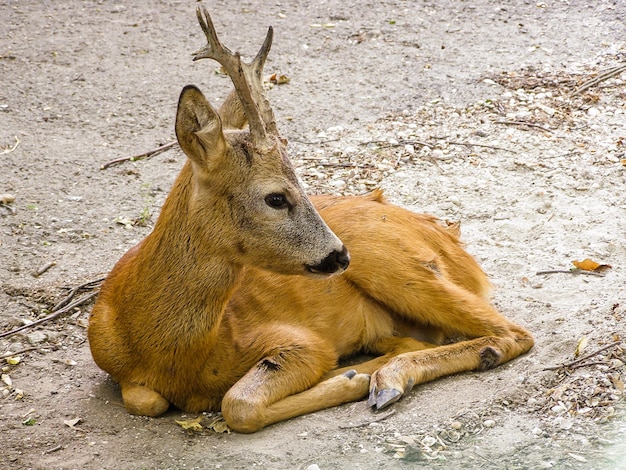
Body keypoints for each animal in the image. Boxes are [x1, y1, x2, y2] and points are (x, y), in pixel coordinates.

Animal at [89, 7, 532, 434]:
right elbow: (146, 400)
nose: (339, 256)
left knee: (514, 333)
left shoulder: (299, 341)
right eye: (275, 197)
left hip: (396, 265)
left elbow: (238, 404)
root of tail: (453, 242)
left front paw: (349, 378)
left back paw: (387, 378)